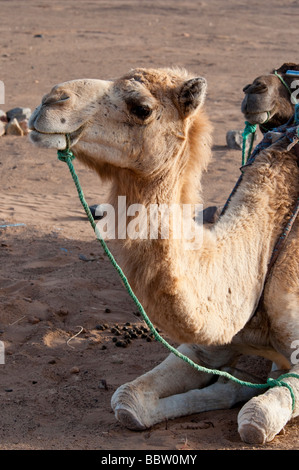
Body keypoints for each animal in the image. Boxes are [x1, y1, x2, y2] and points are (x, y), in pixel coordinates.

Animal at [28, 67, 299, 444]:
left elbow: (255, 420)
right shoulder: (206, 346)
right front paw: (235, 383)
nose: (50, 101)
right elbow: (127, 400)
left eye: (142, 108)